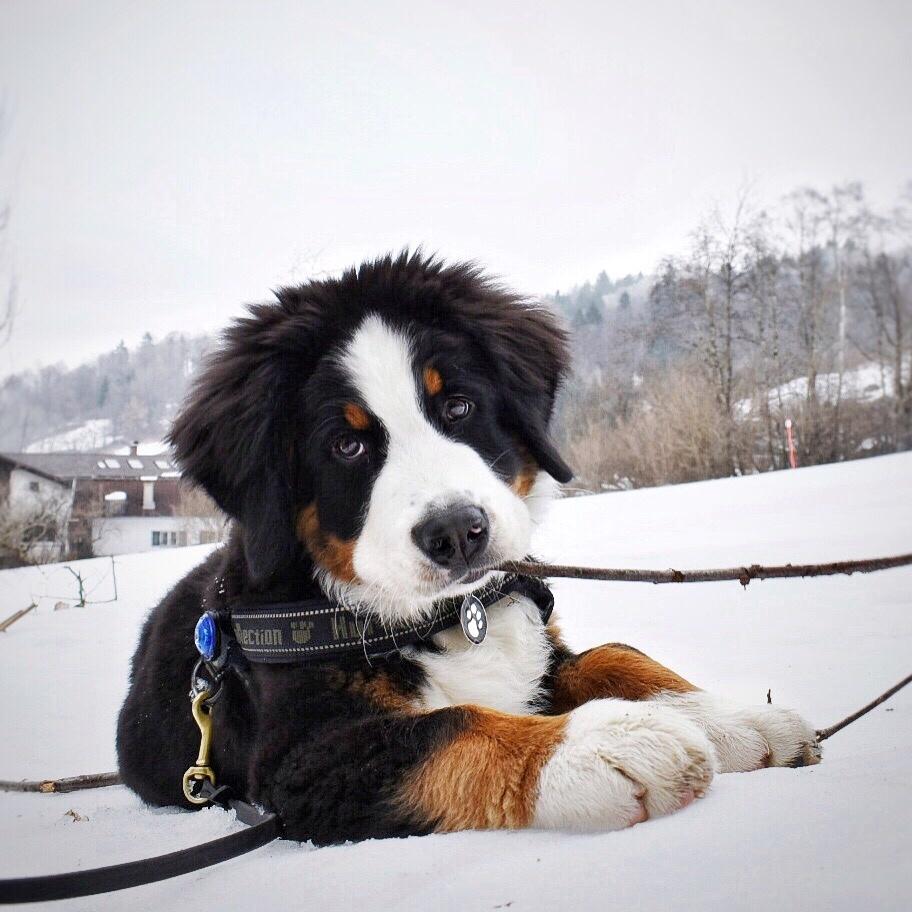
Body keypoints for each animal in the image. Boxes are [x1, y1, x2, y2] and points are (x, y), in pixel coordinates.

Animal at [114, 251, 820, 848]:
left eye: (456, 406)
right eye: (347, 445)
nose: (456, 531)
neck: (444, 617)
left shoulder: (539, 648)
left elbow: (615, 657)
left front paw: (731, 719)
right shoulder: (302, 758)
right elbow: (451, 727)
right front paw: (605, 747)